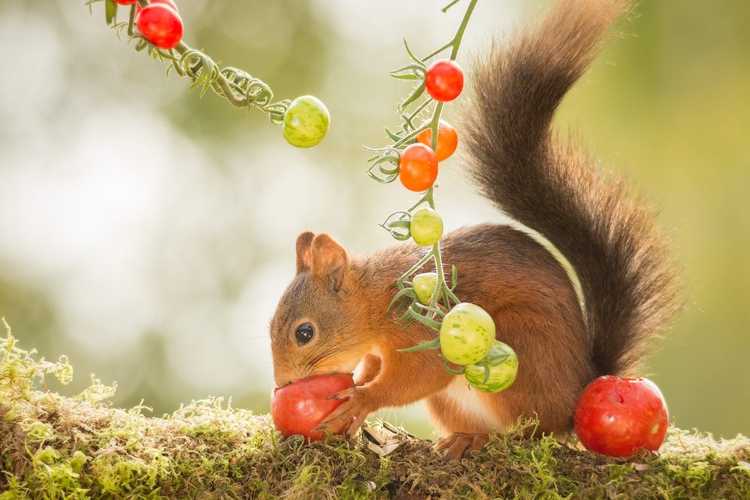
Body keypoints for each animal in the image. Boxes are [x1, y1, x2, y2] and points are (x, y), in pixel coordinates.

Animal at [268, 0, 680, 458]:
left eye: (304, 333)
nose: (283, 385)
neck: (375, 300)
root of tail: (576, 394)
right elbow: (377, 366)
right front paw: (360, 383)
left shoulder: (420, 328)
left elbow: (421, 372)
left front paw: (362, 398)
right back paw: (464, 438)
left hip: (521, 349)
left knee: (531, 430)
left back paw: (496, 437)